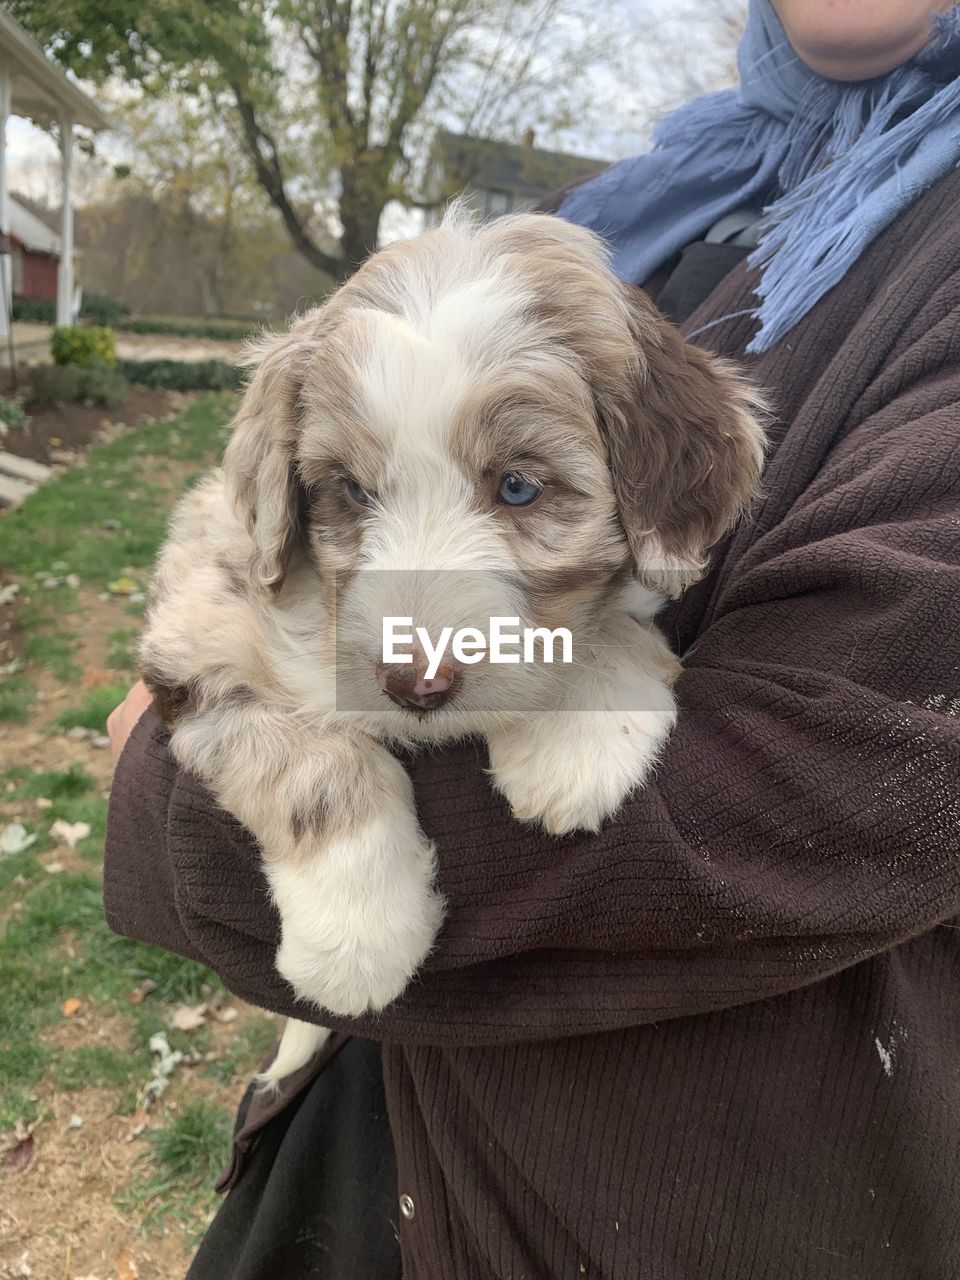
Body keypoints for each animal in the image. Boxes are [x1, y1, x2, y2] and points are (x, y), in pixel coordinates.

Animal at [138, 207, 768, 1080]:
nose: (415, 684)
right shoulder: (198, 626)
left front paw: (577, 739)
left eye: (518, 485)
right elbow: (306, 757)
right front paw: (357, 933)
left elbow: (604, 619)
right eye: (350, 490)